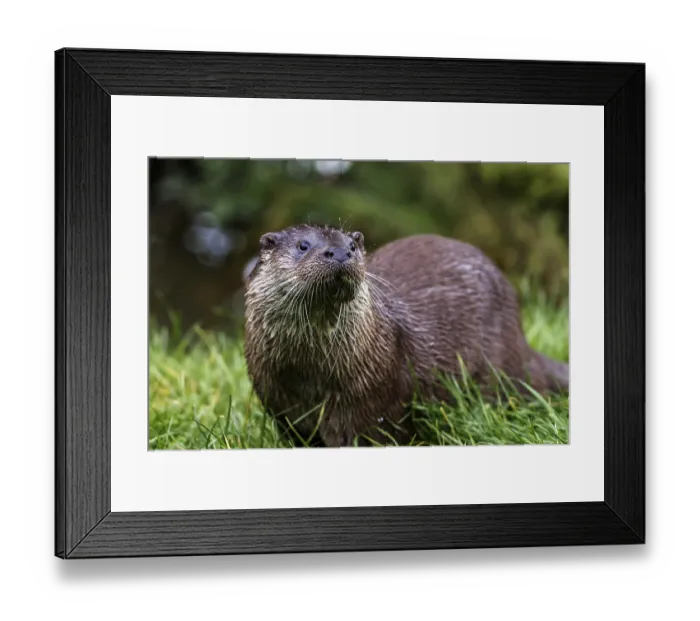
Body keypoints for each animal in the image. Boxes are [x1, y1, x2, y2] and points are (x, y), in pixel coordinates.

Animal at [243, 225, 568, 448]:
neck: (310, 375)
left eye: (352, 245)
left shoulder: (368, 403)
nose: (340, 252)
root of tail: (522, 340)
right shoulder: (281, 406)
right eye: (303, 245)